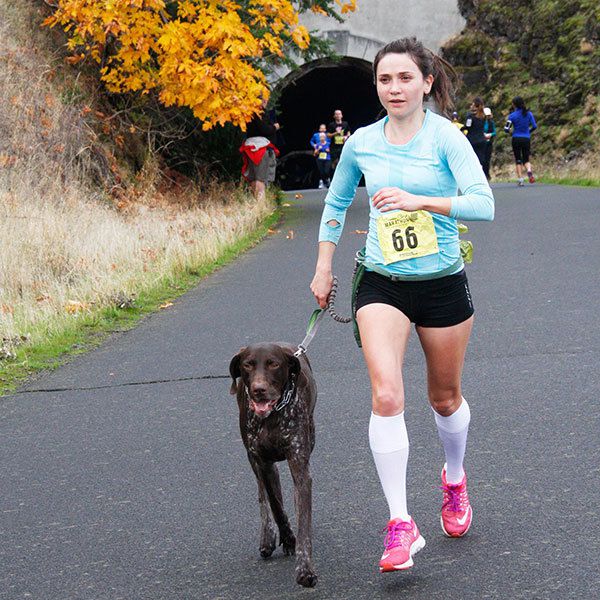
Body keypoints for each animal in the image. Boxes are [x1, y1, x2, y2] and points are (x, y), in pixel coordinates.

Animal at [227, 342, 316, 584]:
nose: (259, 389)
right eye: (248, 364)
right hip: (254, 459)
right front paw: (287, 538)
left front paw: (305, 569)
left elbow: (303, 520)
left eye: (274, 364)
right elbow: (276, 507)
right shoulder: (262, 461)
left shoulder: (300, 463)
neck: (273, 415)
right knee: (262, 493)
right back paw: (267, 537)